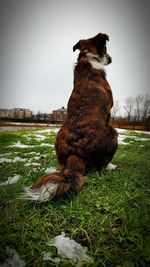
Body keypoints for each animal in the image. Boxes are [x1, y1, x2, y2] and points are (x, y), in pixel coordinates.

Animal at [23, 32, 118, 202]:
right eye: (106, 48)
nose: (111, 59)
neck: (87, 57)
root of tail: (75, 156)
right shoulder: (108, 112)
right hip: (113, 133)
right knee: (101, 165)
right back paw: (110, 167)